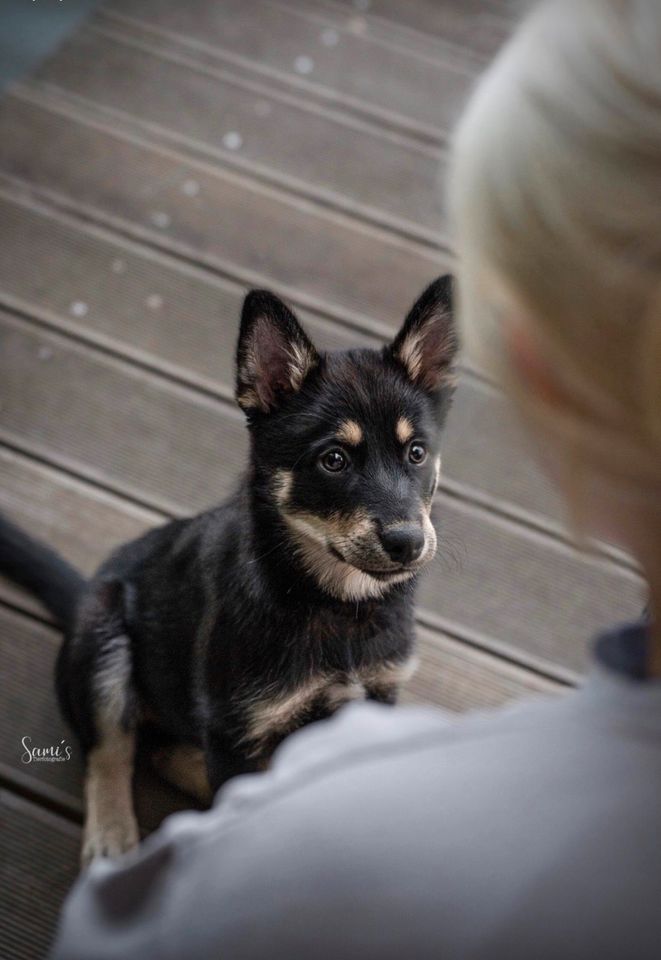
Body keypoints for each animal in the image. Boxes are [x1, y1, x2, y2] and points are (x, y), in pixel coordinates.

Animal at [0, 274, 456, 868]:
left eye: (417, 452)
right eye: (333, 460)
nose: (407, 543)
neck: (331, 602)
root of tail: (83, 595)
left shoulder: (374, 699)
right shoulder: (232, 726)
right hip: (104, 638)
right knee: (112, 749)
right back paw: (112, 838)